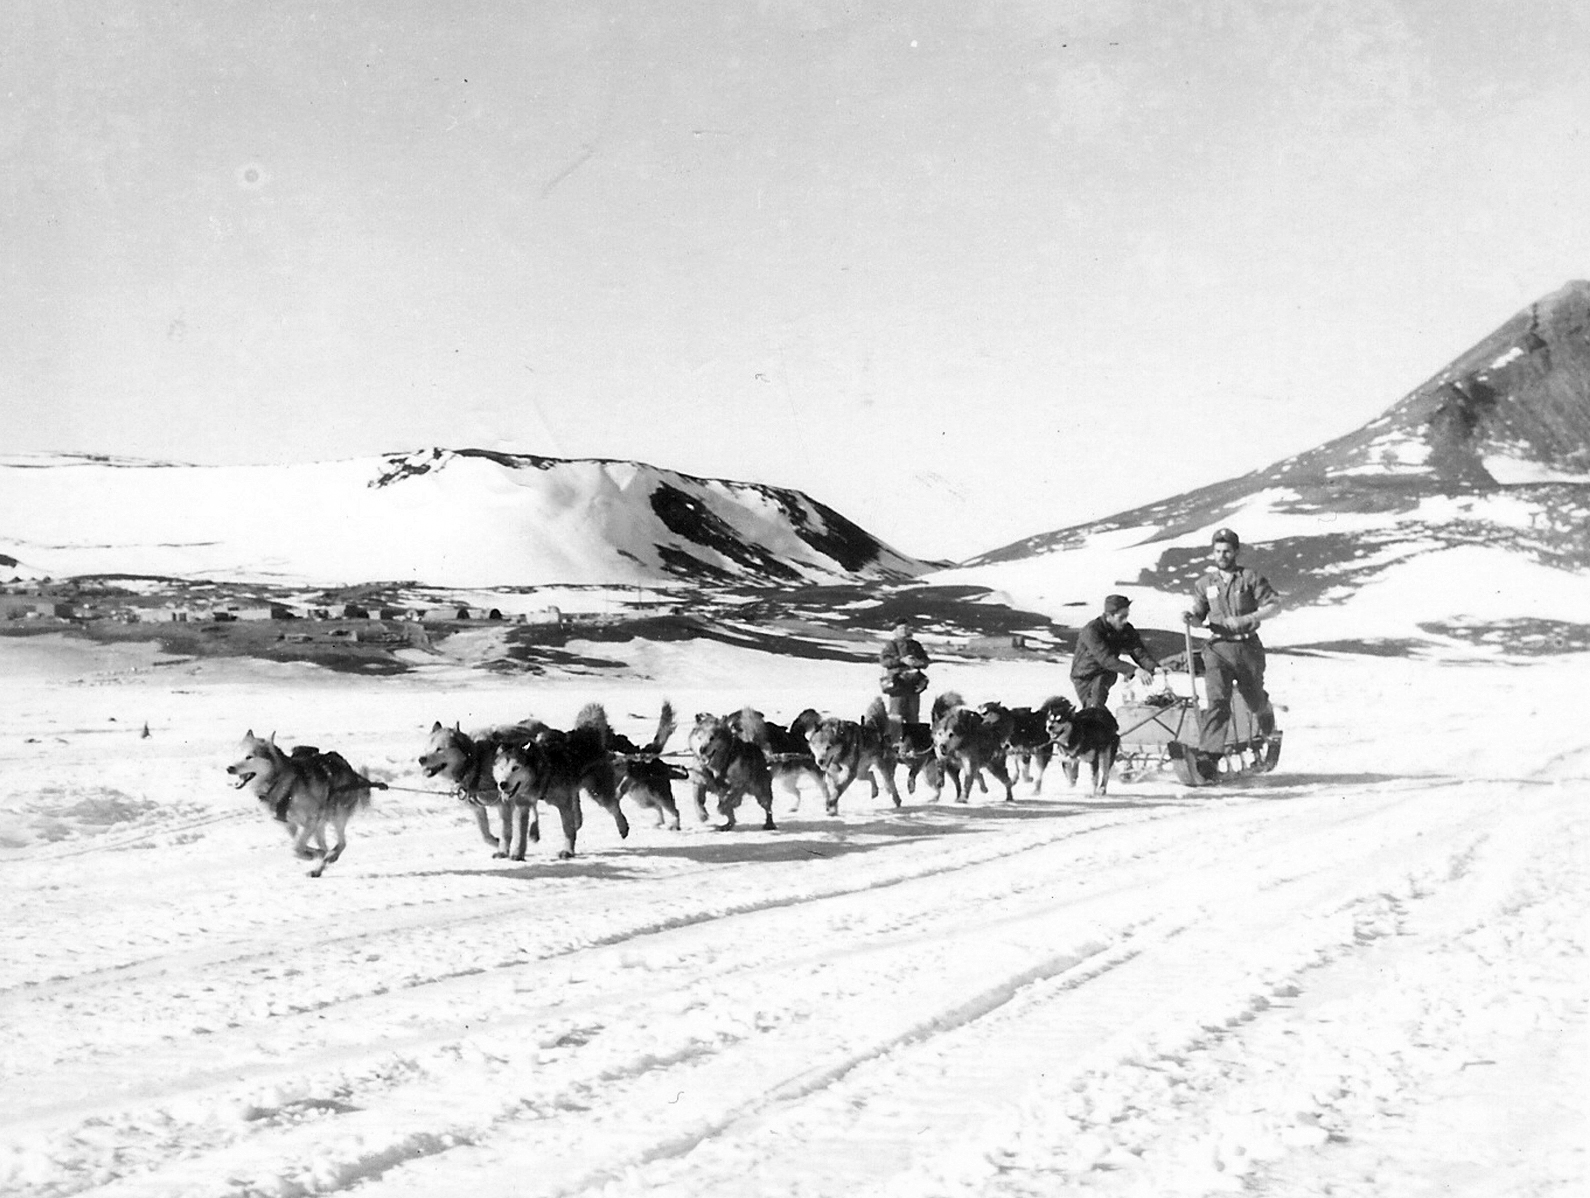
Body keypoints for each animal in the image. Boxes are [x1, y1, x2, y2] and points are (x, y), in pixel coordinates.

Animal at [227, 725, 384, 871]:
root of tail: (352, 772)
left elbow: (296, 847)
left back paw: (331, 855)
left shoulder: (311, 819)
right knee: (325, 845)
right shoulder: (290, 825)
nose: (230, 768)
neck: (280, 783)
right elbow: (298, 843)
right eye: (237, 754)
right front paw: (313, 853)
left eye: (249, 756)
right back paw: (320, 864)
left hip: (337, 815)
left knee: (342, 843)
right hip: (321, 824)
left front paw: (311, 854)